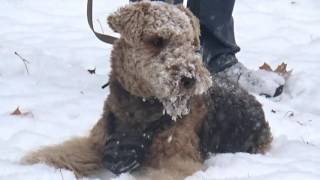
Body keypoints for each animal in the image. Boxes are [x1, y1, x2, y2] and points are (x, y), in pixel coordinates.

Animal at [22, 1, 272, 180]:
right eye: (158, 40)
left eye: (192, 44)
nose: (189, 79)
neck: (140, 106)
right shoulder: (96, 144)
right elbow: (60, 153)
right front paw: (28, 162)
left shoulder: (177, 161)